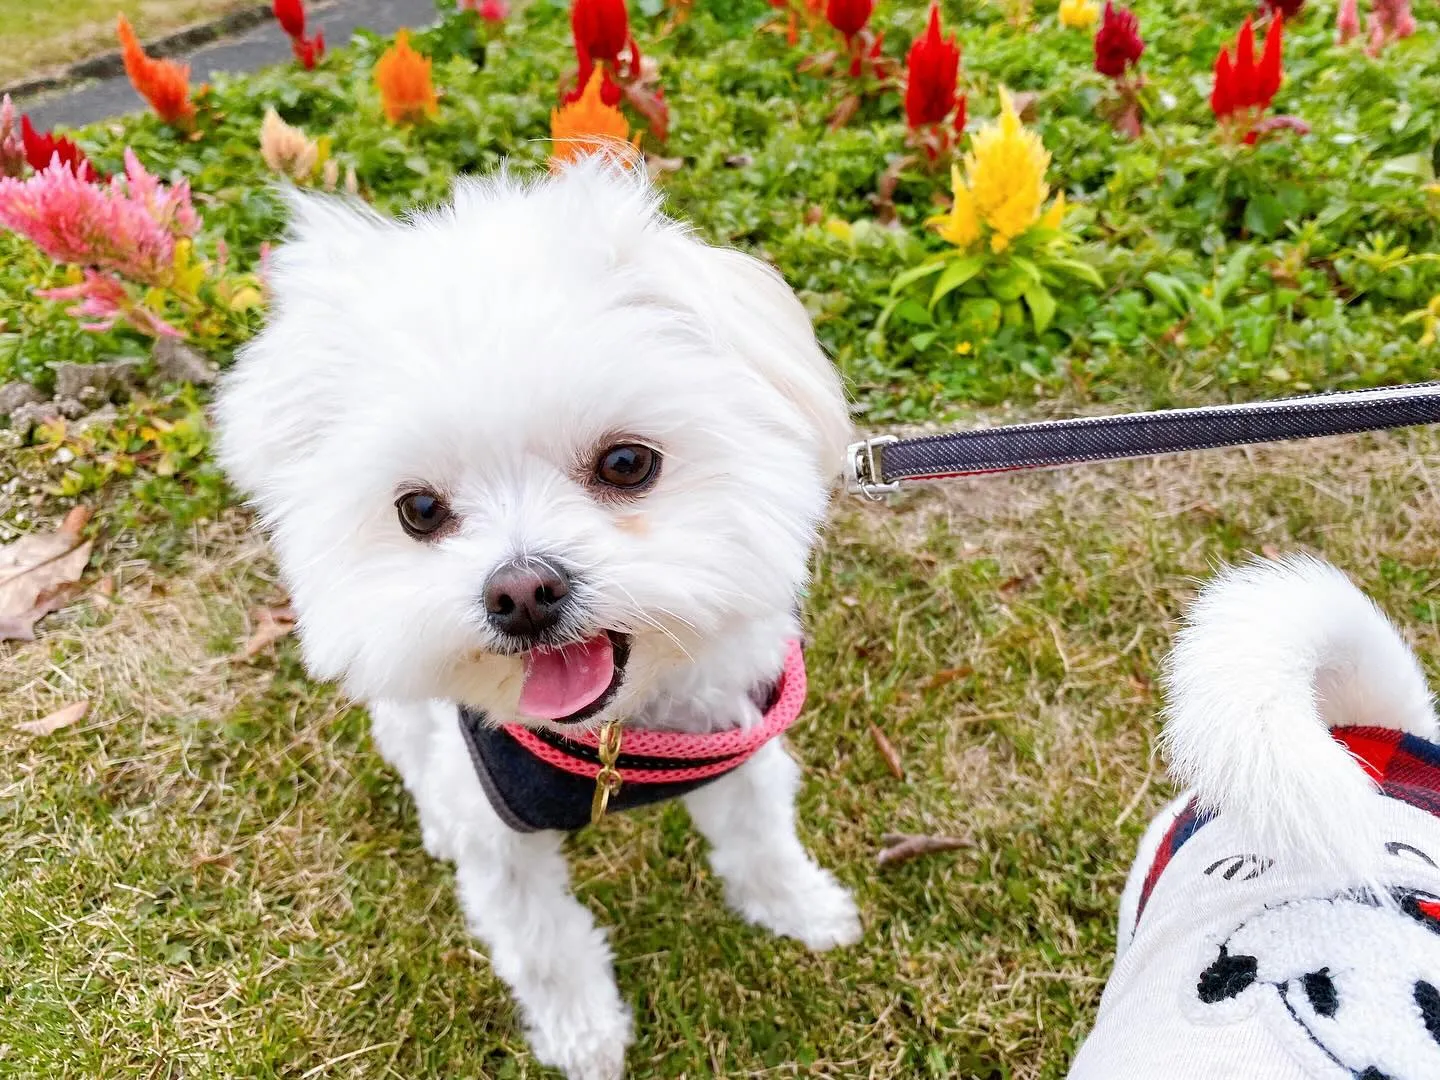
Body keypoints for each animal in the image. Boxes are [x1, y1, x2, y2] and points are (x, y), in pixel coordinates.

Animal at [213, 156, 858, 1077]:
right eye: (419, 510)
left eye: (626, 463)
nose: (520, 593)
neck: (613, 737)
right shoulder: (502, 845)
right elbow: (545, 945)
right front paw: (584, 1033)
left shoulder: (739, 741)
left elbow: (762, 841)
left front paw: (800, 908)